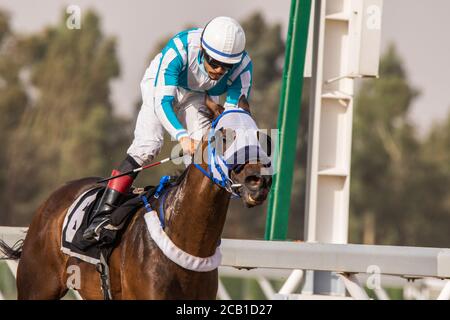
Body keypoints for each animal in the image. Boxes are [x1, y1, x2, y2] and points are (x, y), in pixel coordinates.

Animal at [0, 107, 270, 300]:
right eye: (224, 135)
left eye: (260, 136)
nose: (259, 181)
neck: (187, 240)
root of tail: (52, 199)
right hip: (37, 287)